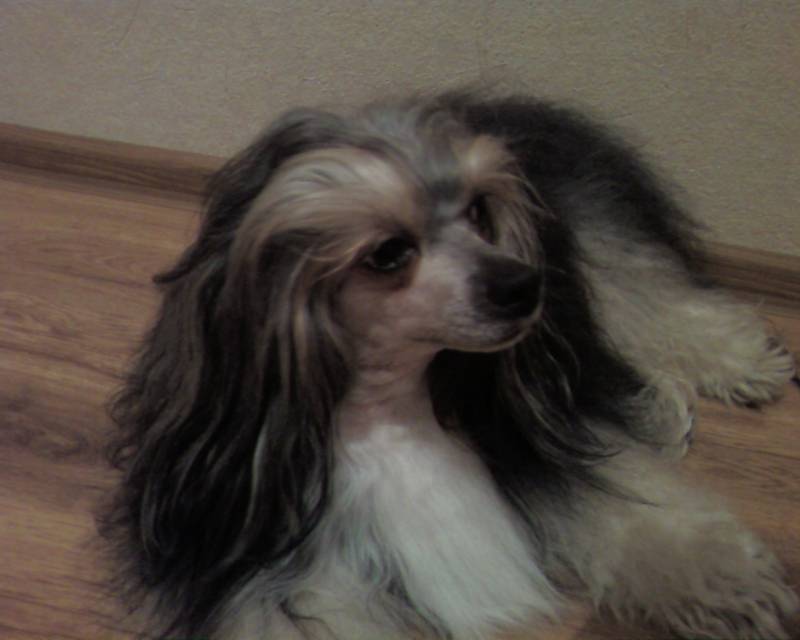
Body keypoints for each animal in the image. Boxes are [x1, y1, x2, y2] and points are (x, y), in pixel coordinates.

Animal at [102, 92, 799, 639]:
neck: (390, 404)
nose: (525, 286)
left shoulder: (534, 443)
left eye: (479, 211)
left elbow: (640, 512)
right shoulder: (268, 564)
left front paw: (738, 587)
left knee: (653, 300)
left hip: (592, 244)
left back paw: (743, 363)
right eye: (388, 254)